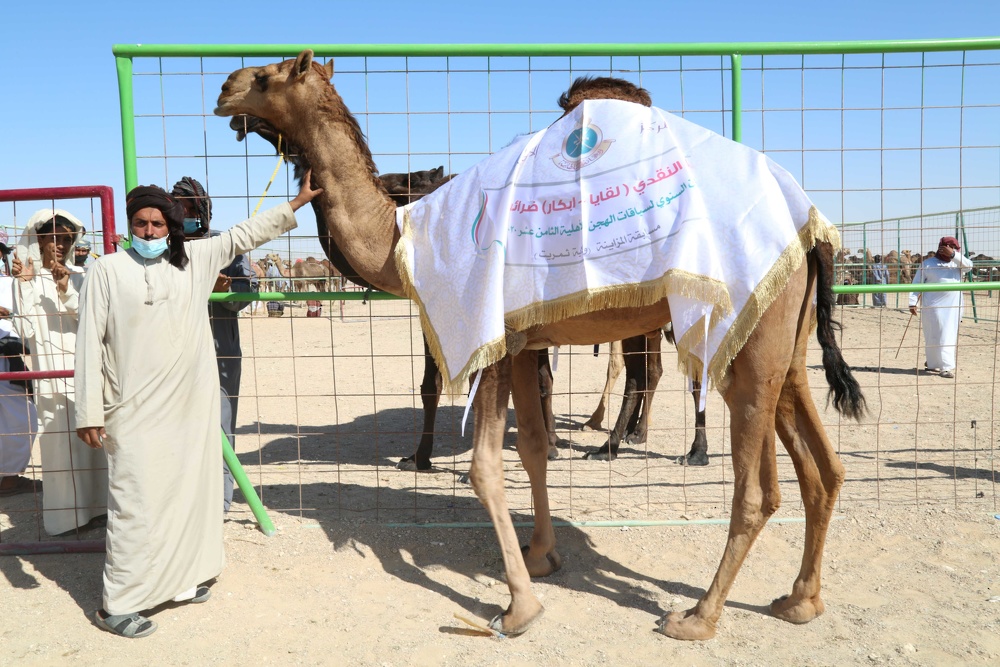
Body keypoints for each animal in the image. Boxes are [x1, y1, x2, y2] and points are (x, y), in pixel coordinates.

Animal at [215, 50, 866, 640]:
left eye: (267, 76)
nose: (225, 88)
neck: (402, 235)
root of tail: (812, 227)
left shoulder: (494, 340)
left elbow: (483, 469)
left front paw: (518, 608)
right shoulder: (525, 342)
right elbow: (529, 447)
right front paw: (541, 557)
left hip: (740, 337)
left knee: (756, 488)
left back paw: (697, 615)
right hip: (783, 338)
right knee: (824, 466)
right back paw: (800, 600)